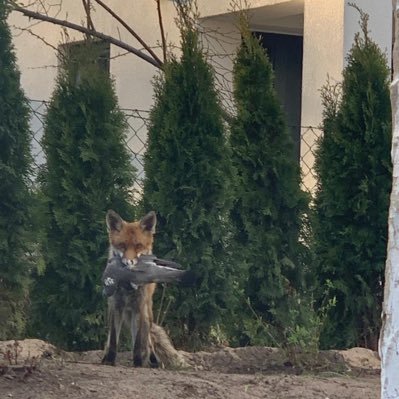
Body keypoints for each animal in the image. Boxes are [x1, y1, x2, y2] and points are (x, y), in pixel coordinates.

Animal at [101, 211, 186, 370]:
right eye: (122, 245)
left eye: (138, 246)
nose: (129, 264)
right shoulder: (116, 306)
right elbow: (114, 339)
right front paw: (109, 360)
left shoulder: (139, 307)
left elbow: (138, 343)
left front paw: (138, 363)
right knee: (112, 338)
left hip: (146, 314)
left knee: (148, 340)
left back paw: (152, 361)